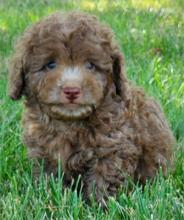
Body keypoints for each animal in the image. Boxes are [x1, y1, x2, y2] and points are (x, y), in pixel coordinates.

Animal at [8, 11, 175, 205]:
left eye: (90, 65)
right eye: (50, 64)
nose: (72, 90)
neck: (70, 123)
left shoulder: (113, 147)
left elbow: (103, 178)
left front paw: (99, 204)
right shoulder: (43, 151)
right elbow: (48, 177)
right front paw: (47, 195)